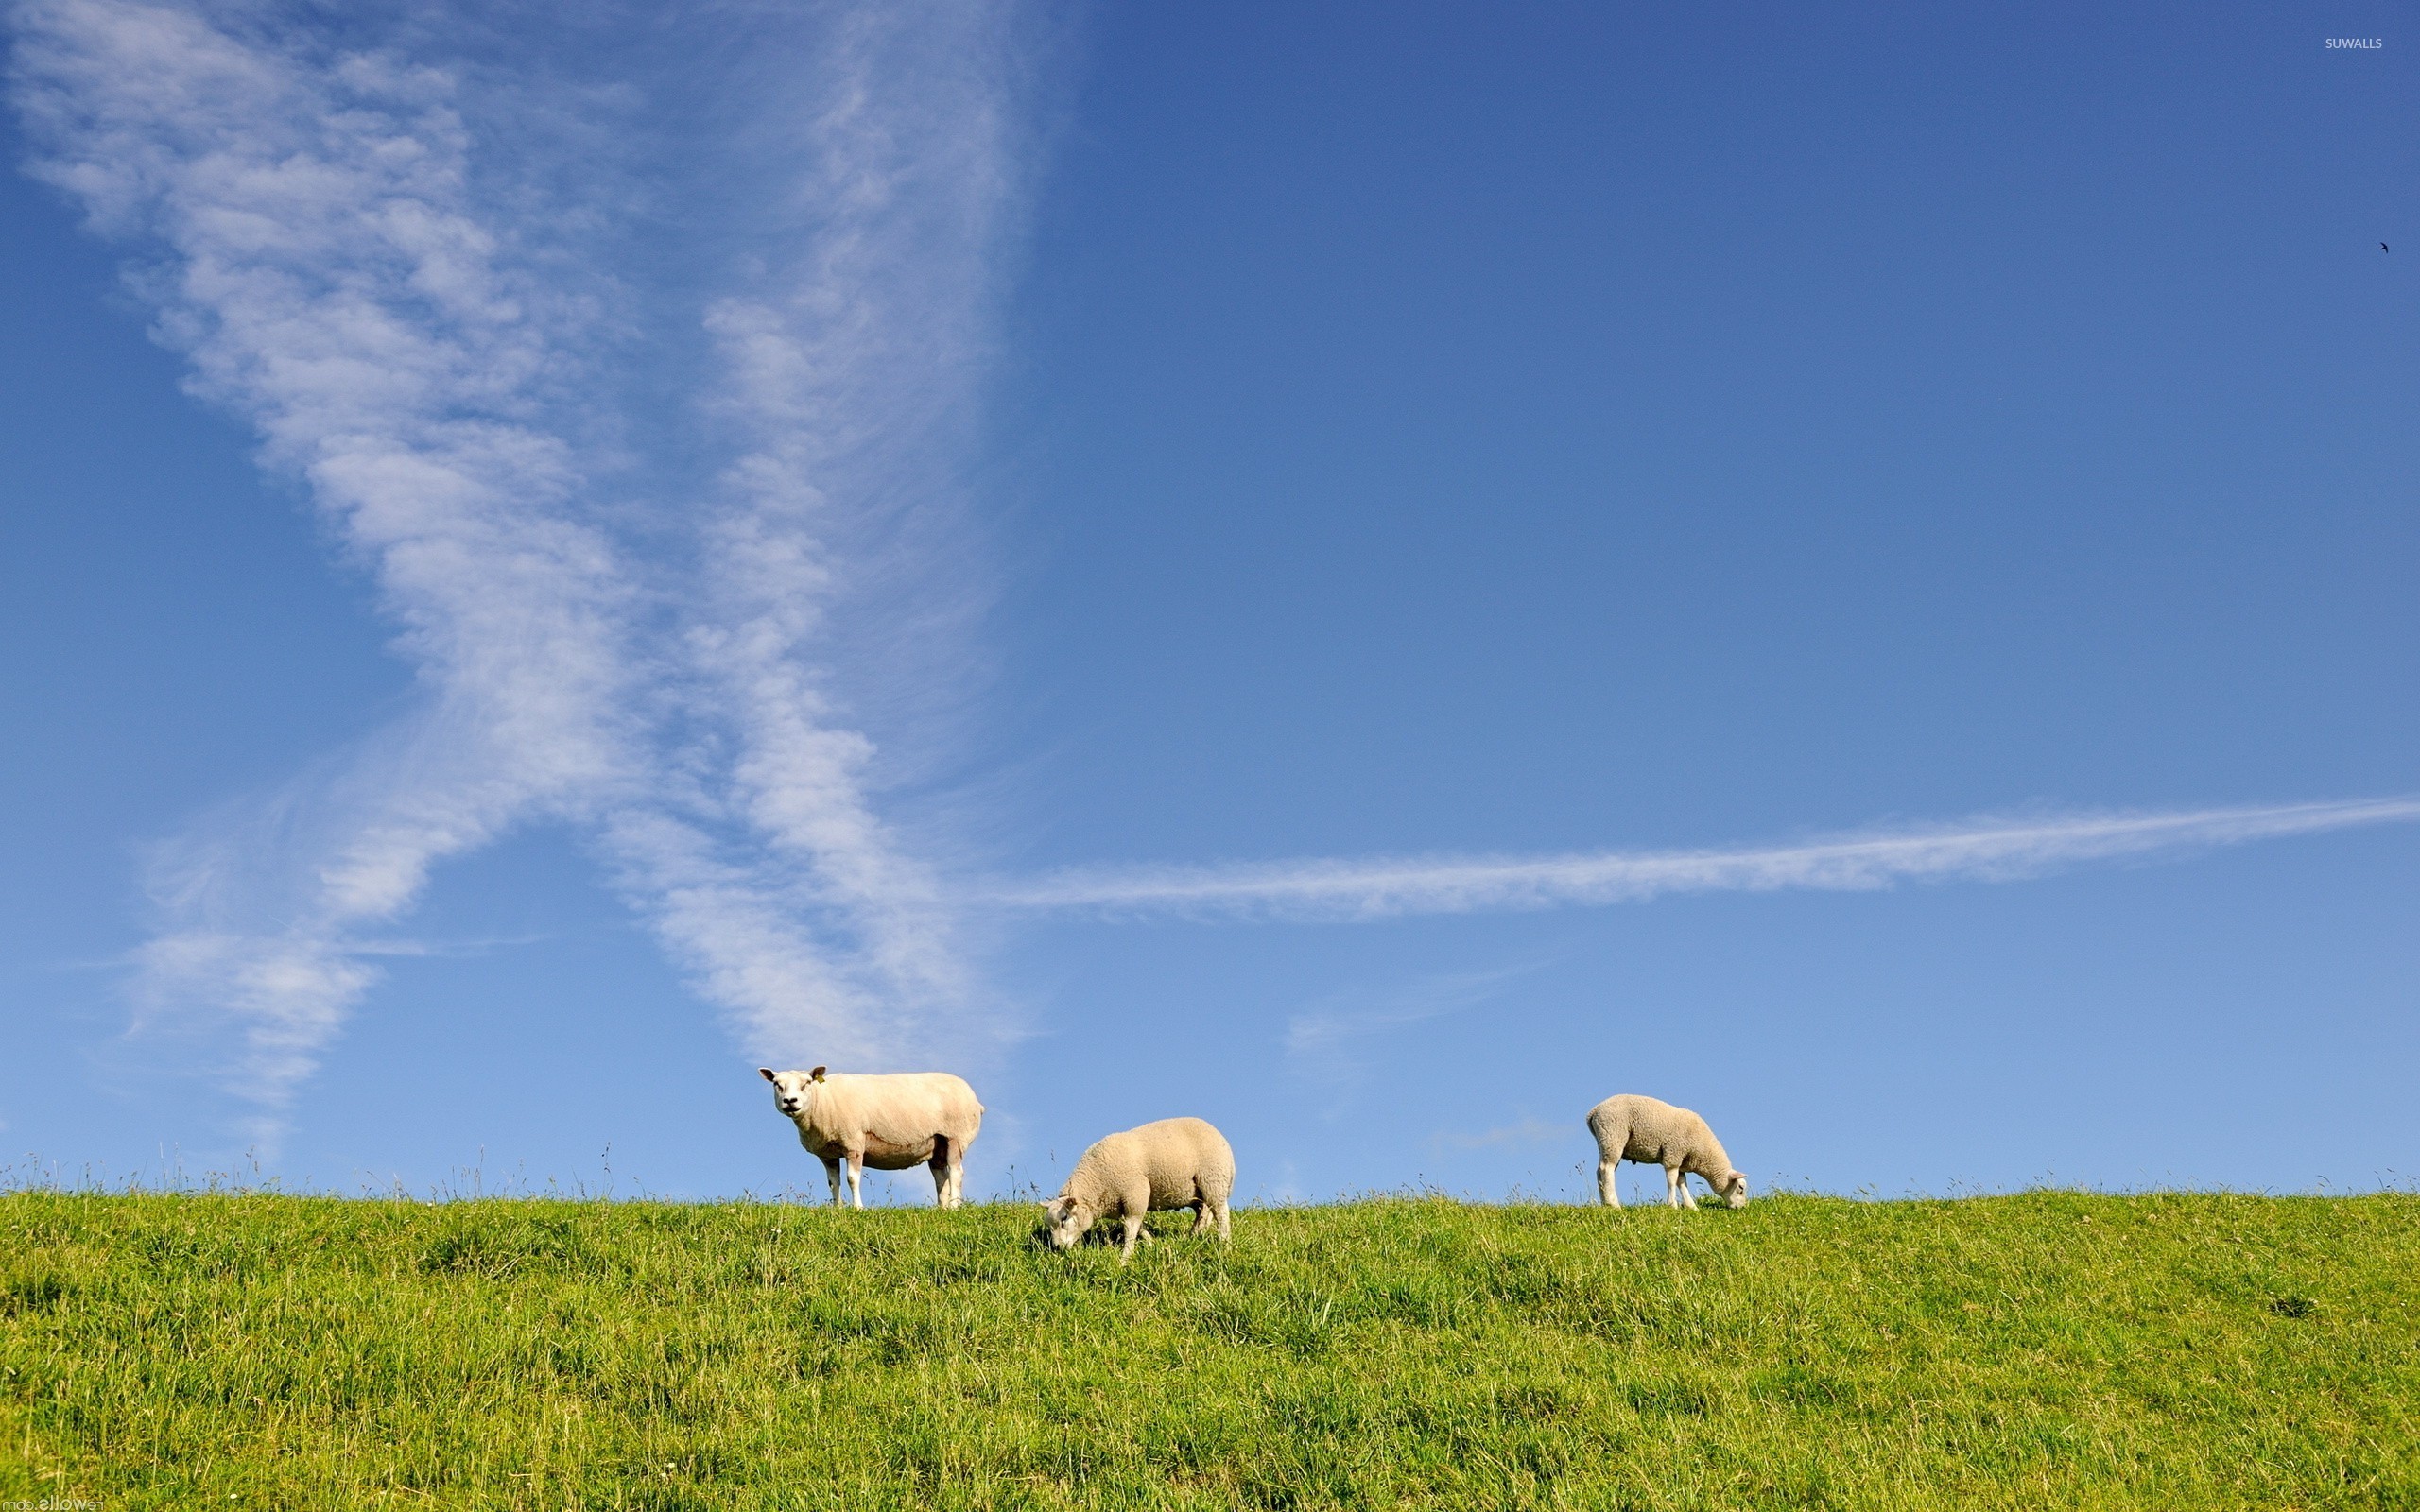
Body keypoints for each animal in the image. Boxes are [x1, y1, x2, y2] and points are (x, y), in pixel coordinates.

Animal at [759, 1066, 984, 1209]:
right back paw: (942, 1209)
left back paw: (954, 1206)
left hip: (956, 1136)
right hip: (937, 1145)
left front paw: (858, 1208)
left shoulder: (853, 1141)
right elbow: (833, 1182)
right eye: (777, 1084)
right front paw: (837, 1210)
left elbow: (852, 1178)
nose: (790, 1101)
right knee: (941, 1178)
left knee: (956, 1173)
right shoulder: (828, 1154)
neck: (822, 1100)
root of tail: (976, 1101)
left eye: (806, 1083)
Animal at [1041, 1117, 1235, 1263]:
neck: (1096, 1181)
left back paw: (1224, 1244)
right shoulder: (1123, 1205)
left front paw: (1125, 1258)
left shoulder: (1135, 1194)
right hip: (1194, 1191)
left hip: (1213, 1179)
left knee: (1221, 1214)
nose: (1057, 1247)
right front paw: (1151, 1243)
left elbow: (1131, 1229)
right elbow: (1138, 1227)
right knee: (1204, 1212)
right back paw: (1194, 1236)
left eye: (1064, 1219)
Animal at [1586, 1093, 1748, 1210]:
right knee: (1607, 1169)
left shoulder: (1681, 1159)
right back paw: (1614, 1204)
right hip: (1613, 1135)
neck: (1702, 1149)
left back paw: (1605, 1203)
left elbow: (1681, 1181)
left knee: (1600, 1171)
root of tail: (1593, 1112)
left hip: (1604, 1141)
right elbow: (1672, 1179)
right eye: (1740, 1188)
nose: (1742, 1208)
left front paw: (1692, 1207)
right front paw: (1672, 1205)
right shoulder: (1673, 1153)